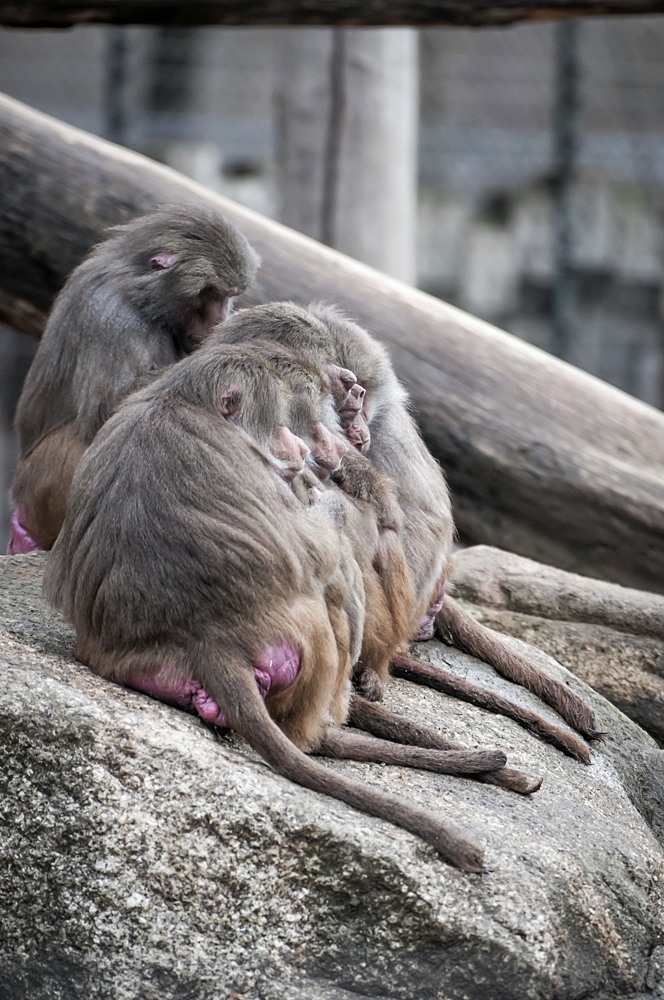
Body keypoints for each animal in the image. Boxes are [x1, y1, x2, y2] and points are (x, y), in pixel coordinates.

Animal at [12, 199, 260, 552]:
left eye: (227, 295)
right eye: (211, 292)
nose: (221, 319)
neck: (142, 298)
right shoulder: (109, 314)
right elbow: (110, 407)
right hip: (41, 491)